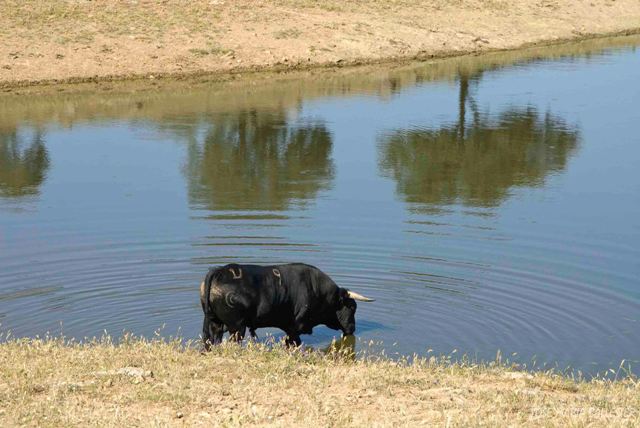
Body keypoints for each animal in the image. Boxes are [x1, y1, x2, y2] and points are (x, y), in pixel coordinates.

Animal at [198, 262, 372, 350]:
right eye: (352, 308)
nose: (352, 328)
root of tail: (220, 271)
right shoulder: (296, 327)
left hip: (214, 323)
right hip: (236, 327)